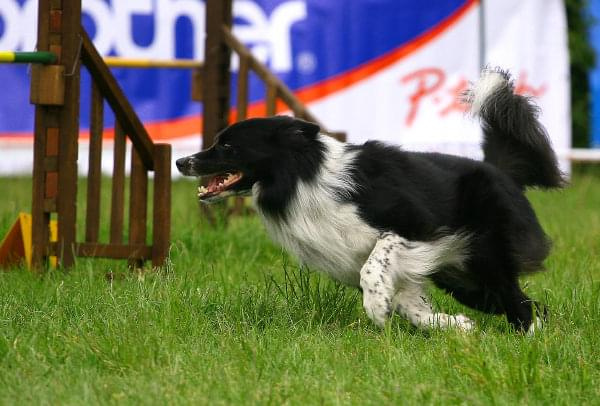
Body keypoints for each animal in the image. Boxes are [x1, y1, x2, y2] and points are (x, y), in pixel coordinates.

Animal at [177, 69, 564, 334]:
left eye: (228, 146)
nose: (181, 162)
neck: (303, 177)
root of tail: (500, 171)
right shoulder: (408, 267)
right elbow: (413, 308)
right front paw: (450, 324)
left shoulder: (414, 226)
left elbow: (374, 264)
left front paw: (377, 307)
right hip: (463, 278)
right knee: (527, 304)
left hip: (486, 257)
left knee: (520, 302)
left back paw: (530, 340)